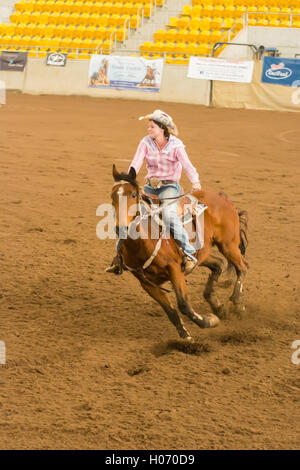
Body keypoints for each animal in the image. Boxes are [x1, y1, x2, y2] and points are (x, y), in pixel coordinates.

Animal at [110, 164, 248, 338]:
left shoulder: (175, 269)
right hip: (202, 254)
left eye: (133, 194)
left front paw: (210, 321)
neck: (141, 244)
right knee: (218, 264)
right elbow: (170, 311)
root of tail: (222, 198)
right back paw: (218, 307)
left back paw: (238, 303)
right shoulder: (146, 283)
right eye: (112, 196)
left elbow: (183, 305)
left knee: (242, 267)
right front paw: (185, 334)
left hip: (228, 244)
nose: (121, 227)